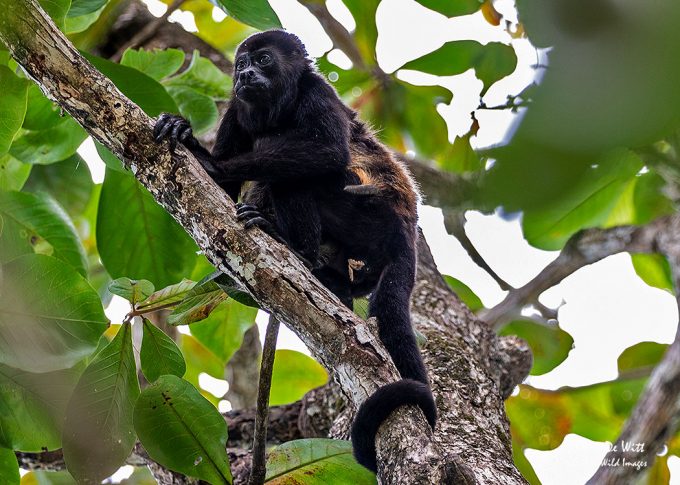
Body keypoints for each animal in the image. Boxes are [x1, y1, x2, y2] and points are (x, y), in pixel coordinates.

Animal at [154, 29, 436, 472]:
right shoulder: (236, 109)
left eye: (264, 60)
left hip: (369, 214)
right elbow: (223, 191)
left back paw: (295, 248)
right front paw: (182, 132)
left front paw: (207, 159)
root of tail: (406, 230)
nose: (245, 74)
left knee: (301, 173)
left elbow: (330, 152)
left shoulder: (316, 92)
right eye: (240, 64)